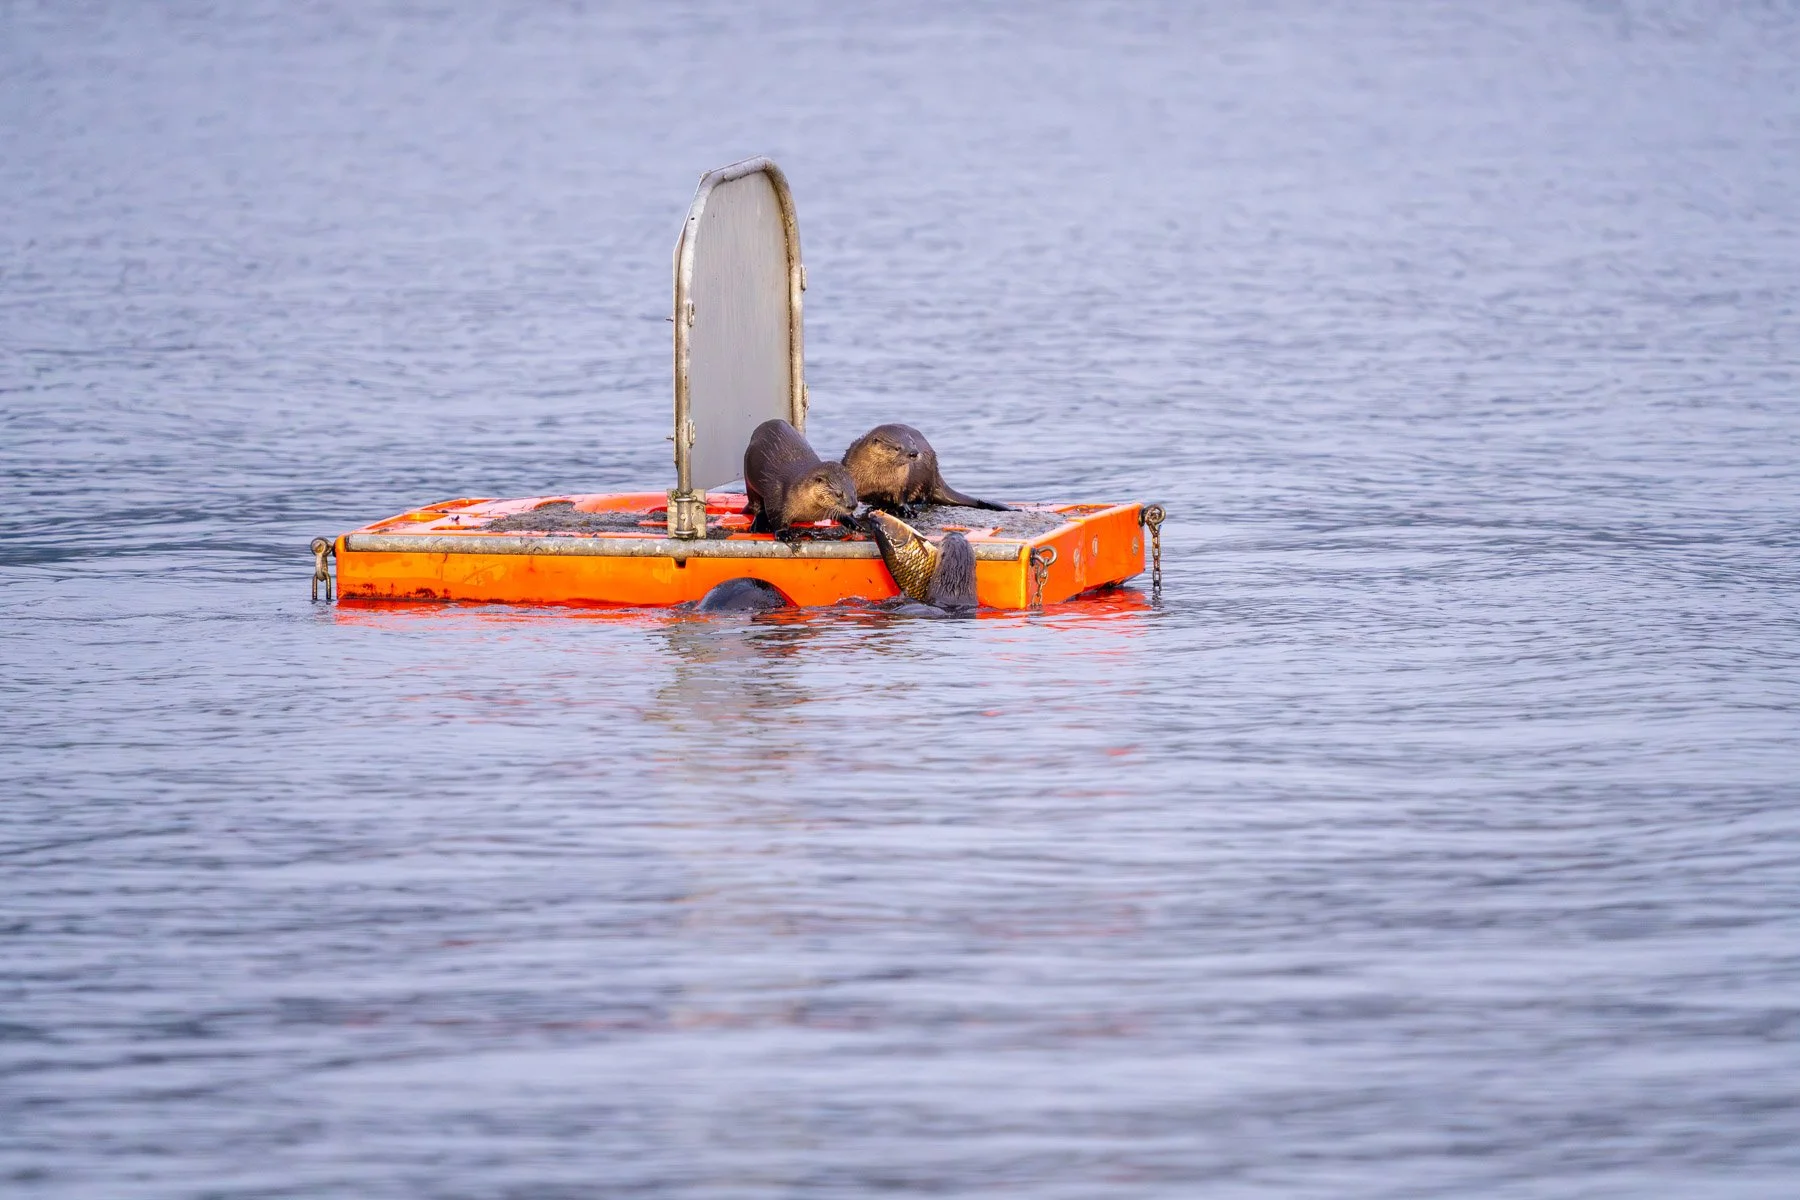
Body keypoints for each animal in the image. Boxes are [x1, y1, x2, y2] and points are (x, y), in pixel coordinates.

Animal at [842, 423, 1009, 516]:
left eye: (912, 443)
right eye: (897, 447)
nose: (914, 453)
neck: (878, 479)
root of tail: (936, 474)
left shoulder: (902, 481)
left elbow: (901, 497)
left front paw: (906, 511)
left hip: (927, 478)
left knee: (925, 498)